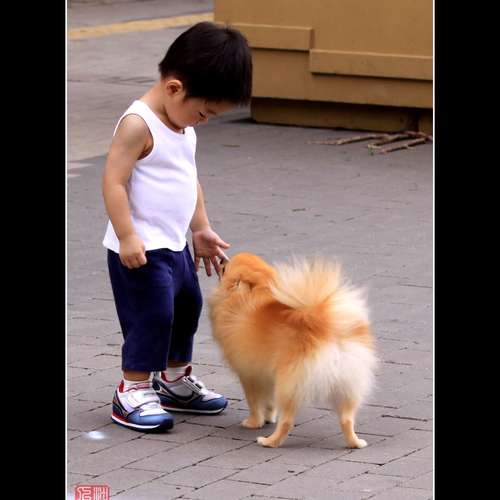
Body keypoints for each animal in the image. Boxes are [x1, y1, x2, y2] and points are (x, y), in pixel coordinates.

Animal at [208, 252, 377, 448]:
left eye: (225, 268)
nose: (221, 259)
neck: (252, 292)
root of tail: (324, 328)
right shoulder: (267, 374)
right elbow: (269, 403)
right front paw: (269, 418)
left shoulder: (249, 374)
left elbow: (254, 403)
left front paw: (254, 422)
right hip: (348, 383)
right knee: (347, 419)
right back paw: (356, 442)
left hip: (288, 384)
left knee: (287, 421)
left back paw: (269, 441)